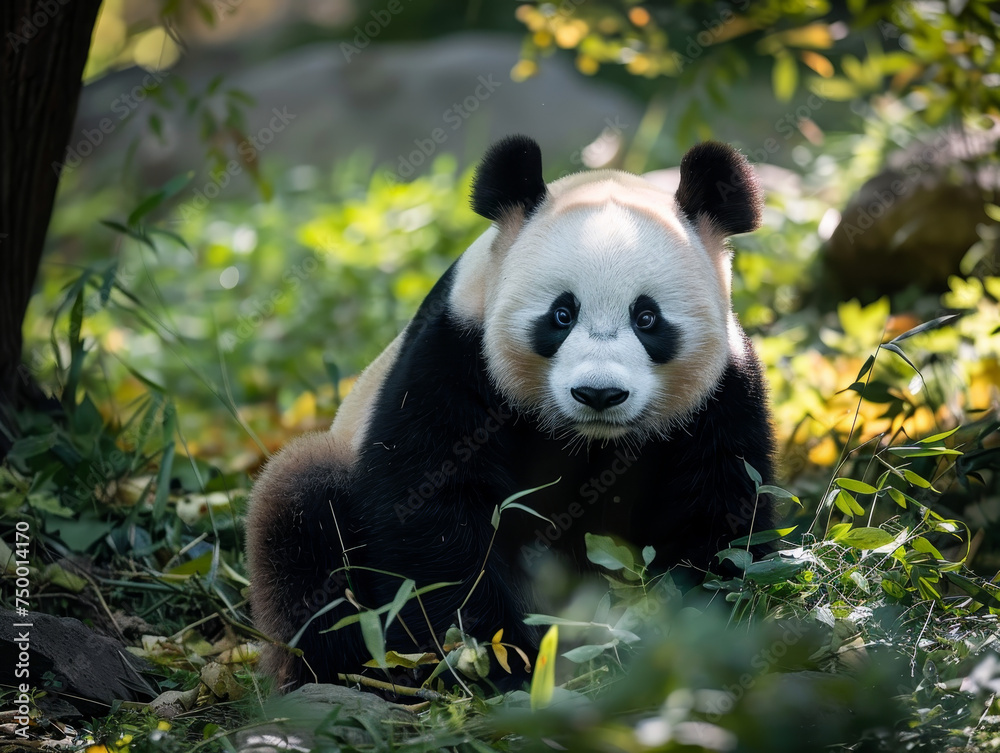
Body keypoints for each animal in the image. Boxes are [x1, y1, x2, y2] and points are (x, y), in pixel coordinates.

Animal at [246, 135, 775, 691]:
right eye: (562, 314)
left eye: (647, 318)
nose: (599, 394)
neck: (588, 439)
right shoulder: (455, 355)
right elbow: (433, 516)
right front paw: (499, 661)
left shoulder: (722, 394)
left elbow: (719, 510)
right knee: (304, 514)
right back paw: (348, 672)